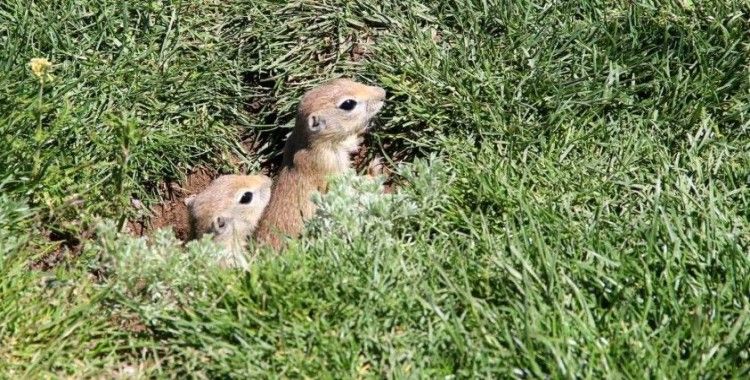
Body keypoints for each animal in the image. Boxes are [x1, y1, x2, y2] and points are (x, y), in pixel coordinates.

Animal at [258, 77, 388, 249]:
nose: (383, 93)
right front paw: (375, 169)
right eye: (348, 104)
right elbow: (351, 186)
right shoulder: (329, 165)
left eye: (346, 79)